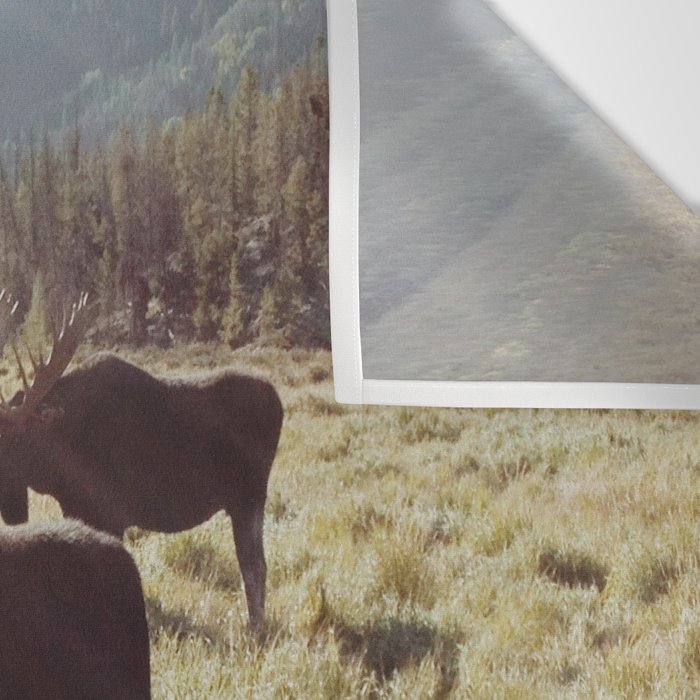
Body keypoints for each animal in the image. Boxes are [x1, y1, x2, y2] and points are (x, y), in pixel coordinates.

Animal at [0, 292, 283, 628]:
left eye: (13, 441)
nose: (11, 512)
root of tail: (279, 403)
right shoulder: (78, 510)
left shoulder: (110, 514)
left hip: (249, 497)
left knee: (254, 565)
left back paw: (255, 628)